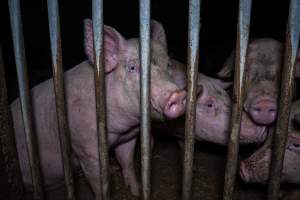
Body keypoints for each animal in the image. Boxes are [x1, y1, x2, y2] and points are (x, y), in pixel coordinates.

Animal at [11, 19, 186, 198]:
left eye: (168, 65)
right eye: (132, 68)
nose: (178, 94)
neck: (118, 129)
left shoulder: (128, 137)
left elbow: (127, 162)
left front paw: (137, 191)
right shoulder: (86, 148)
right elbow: (98, 180)